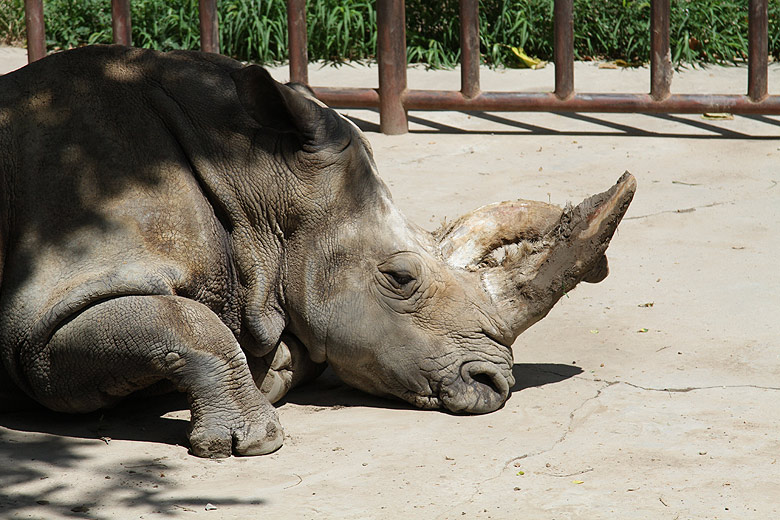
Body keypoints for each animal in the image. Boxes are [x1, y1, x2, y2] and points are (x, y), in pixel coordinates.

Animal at [0, 45, 635, 457]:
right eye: (400, 279)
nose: (493, 386)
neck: (254, 174)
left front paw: (270, 373)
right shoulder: (43, 317)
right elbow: (184, 323)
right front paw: (251, 443)